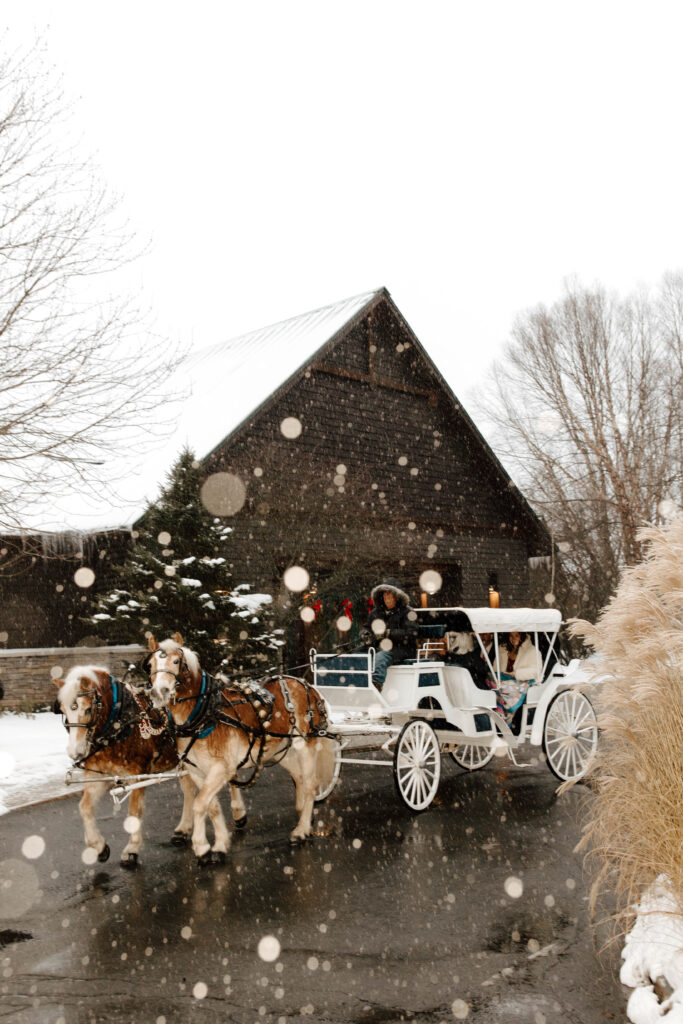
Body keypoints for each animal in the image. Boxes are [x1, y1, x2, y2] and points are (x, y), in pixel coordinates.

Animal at [54, 663, 201, 864]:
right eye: (63, 711)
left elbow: (134, 812)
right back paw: (183, 830)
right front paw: (99, 846)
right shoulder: (97, 774)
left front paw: (132, 849)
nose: (75, 752)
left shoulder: (137, 774)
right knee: (188, 789)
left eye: (87, 709)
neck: (117, 725)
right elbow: (84, 808)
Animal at [145, 634, 335, 860]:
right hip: (282, 750)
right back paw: (302, 813)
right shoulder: (197, 770)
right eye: (150, 665)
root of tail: (306, 684)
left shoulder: (222, 768)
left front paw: (201, 846)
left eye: (175, 661)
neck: (205, 714)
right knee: (299, 779)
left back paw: (301, 830)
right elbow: (211, 806)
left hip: (305, 743)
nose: (159, 692)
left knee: (312, 784)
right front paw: (219, 844)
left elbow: (200, 804)